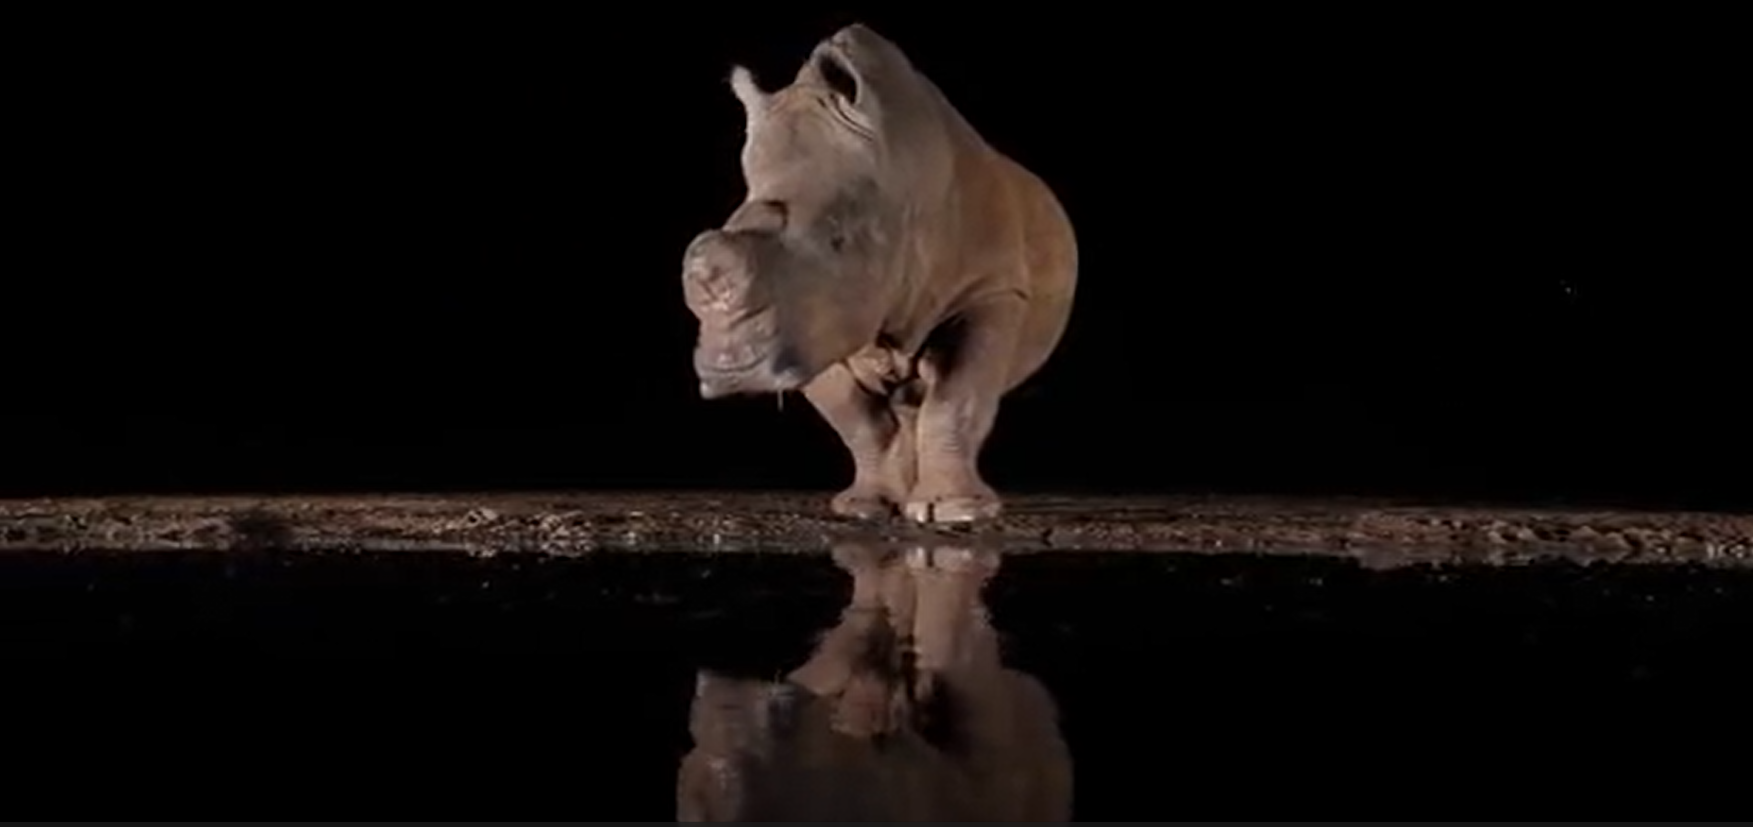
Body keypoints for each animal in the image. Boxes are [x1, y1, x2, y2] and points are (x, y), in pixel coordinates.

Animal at [679, 23, 1079, 524]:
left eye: (838, 241)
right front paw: (865, 509)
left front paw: (957, 512)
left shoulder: (990, 290)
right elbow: (857, 420)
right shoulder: (810, 321)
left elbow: (957, 398)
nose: (731, 370)